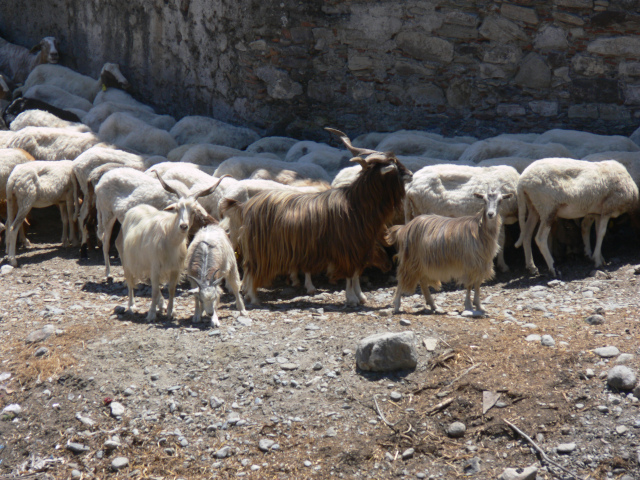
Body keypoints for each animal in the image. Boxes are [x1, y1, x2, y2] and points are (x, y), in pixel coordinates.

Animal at [116, 173, 226, 322]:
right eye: (177, 209)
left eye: (193, 211)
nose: (183, 226)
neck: (169, 239)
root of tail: (134, 209)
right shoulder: (155, 266)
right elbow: (154, 290)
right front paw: (151, 314)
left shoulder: (174, 268)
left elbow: (171, 289)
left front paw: (170, 312)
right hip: (126, 260)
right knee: (130, 281)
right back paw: (132, 306)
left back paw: (161, 304)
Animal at [238, 127, 412, 306]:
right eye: (394, 165)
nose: (411, 174)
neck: (355, 204)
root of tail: (249, 206)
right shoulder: (347, 248)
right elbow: (350, 274)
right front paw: (351, 298)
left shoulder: (360, 247)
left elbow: (356, 273)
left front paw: (360, 296)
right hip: (261, 248)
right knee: (252, 268)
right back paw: (253, 297)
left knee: (249, 268)